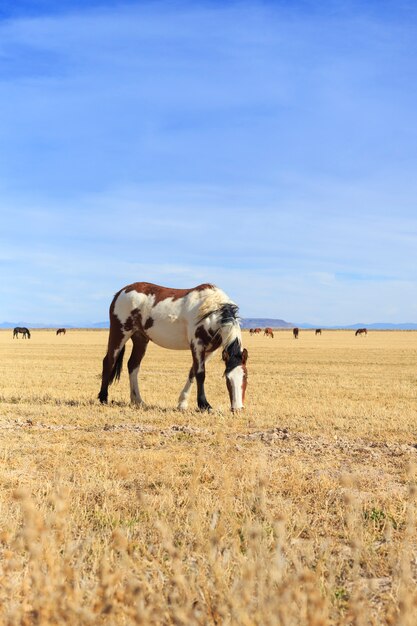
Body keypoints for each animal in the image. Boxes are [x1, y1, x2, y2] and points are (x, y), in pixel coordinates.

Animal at [97, 282, 247, 410]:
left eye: (245, 377)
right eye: (227, 379)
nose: (238, 408)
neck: (211, 310)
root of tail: (121, 292)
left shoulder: (210, 350)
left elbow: (192, 372)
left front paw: (182, 403)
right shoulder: (197, 344)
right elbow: (200, 373)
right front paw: (204, 404)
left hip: (140, 338)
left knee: (133, 365)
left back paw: (137, 400)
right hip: (120, 333)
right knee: (109, 361)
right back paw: (103, 398)